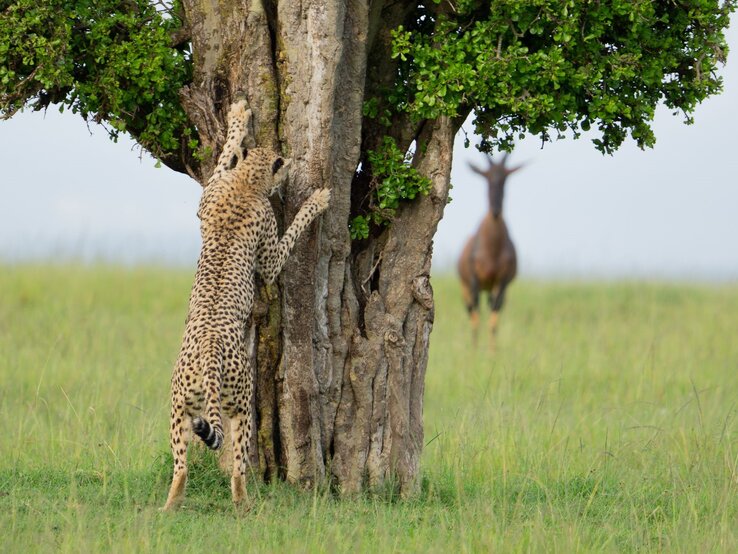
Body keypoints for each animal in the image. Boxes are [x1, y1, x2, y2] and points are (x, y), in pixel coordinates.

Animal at [165, 99, 334, 508]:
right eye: (282, 162)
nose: (290, 168)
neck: (246, 182)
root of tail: (210, 353)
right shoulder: (269, 256)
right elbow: (289, 237)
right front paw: (316, 201)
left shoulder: (206, 199)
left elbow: (223, 156)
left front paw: (238, 119)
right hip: (240, 404)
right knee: (240, 465)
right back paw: (243, 505)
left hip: (179, 409)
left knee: (181, 466)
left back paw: (169, 505)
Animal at [454, 153, 516, 342]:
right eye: (486, 176)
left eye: (505, 178)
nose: (495, 211)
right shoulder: (474, 282)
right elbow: (476, 319)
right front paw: (474, 349)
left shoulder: (502, 282)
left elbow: (493, 321)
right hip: (466, 288)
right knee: (472, 312)